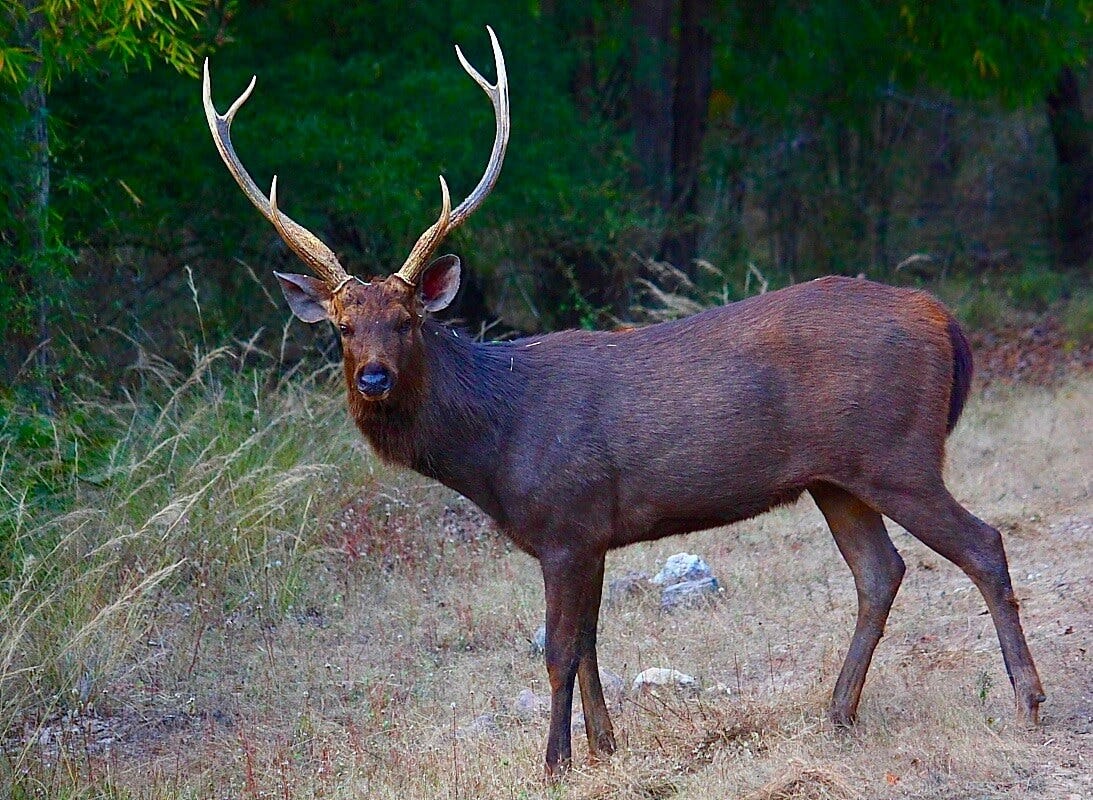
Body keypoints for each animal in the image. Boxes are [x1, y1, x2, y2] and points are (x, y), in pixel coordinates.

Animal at [201, 26, 1044, 782]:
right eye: (341, 328)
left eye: (406, 320)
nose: (373, 379)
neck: (493, 448)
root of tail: (942, 320)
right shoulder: (593, 531)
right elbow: (590, 643)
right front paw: (606, 748)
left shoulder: (566, 521)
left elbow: (556, 650)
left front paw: (553, 763)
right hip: (836, 477)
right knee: (879, 572)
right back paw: (836, 714)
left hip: (897, 451)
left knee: (982, 544)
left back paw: (1026, 701)